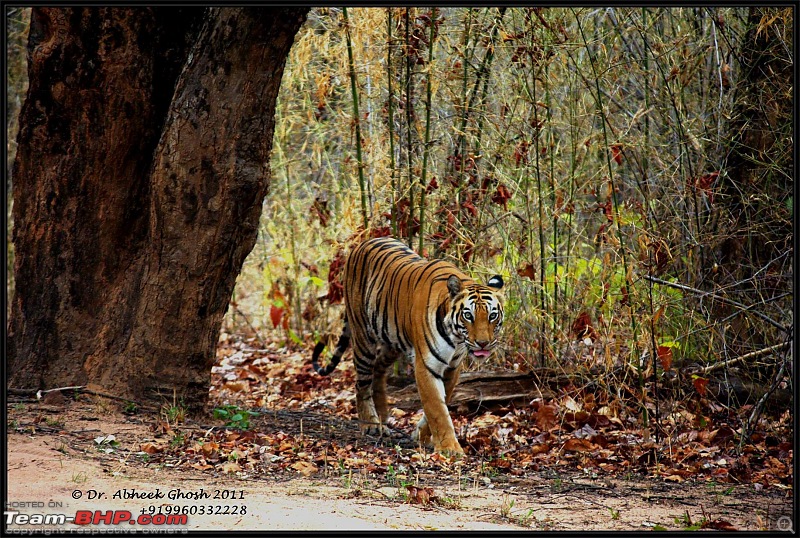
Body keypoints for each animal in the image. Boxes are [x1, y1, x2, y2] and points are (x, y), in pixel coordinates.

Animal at [310, 237, 504, 454]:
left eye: (492, 316)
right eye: (468, 315)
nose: (483, 344)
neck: (456, 339)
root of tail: (362, 243)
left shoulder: (452, 368)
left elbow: (441, 403)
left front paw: (422, 436)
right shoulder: (427, 366)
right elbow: (436, 408)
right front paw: (450, 448)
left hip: (392, 342)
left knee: (378, 370)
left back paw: (383, 415)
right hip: (363, 337)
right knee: (361, 383)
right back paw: (370, 424)